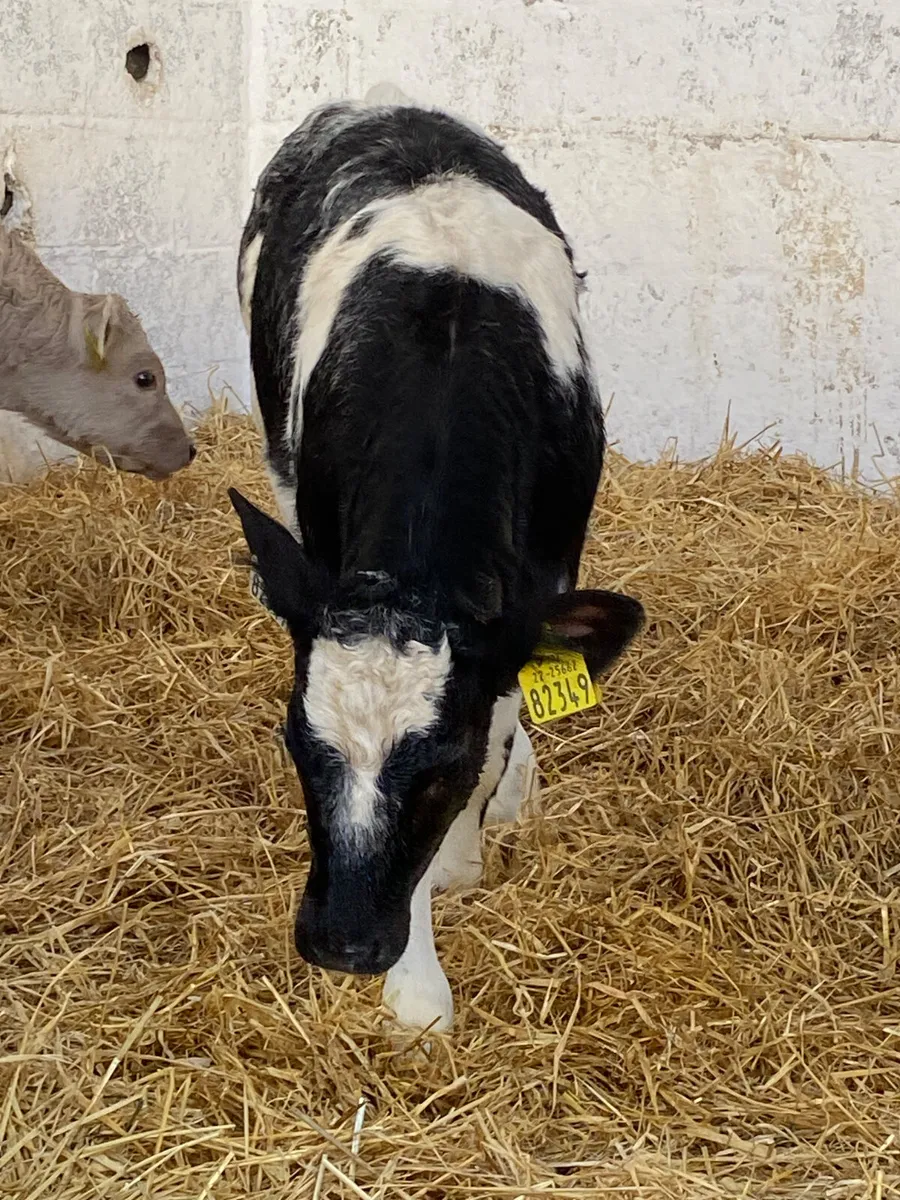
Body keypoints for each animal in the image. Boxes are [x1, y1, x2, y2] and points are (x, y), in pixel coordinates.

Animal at [230, 86, 644, 1032]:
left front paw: (463, 852)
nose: (341, 944)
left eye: (440, 766)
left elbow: (502, 718)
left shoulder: (541, 576)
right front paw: (418, 993)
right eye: (297, 743)